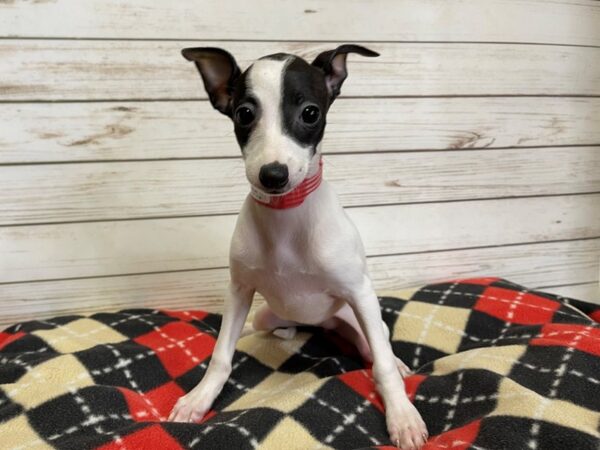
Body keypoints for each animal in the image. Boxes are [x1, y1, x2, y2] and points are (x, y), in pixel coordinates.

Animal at [169, 43, 428, 450]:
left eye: (310, 113)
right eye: (244, 113)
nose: (273, 175)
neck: (286, 217)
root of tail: (321, 323)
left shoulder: (359, 291)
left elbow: (383, 364)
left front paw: (402, 416)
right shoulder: (239, 291)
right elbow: (222, 354)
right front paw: (199, 399)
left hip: (360, 316)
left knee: (376, 347)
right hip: (266, 314)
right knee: (266, 327)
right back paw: (281, 332)